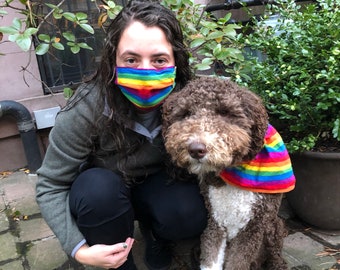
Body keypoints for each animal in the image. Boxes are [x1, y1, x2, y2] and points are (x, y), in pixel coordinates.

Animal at [162, 76, 294, 270]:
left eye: (224, 112)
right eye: (185, 114)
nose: (196, 149)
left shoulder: (252, 228)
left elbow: (238, 261)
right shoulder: (215, 221)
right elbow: (211, 258)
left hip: (274, 226)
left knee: (275, 254)